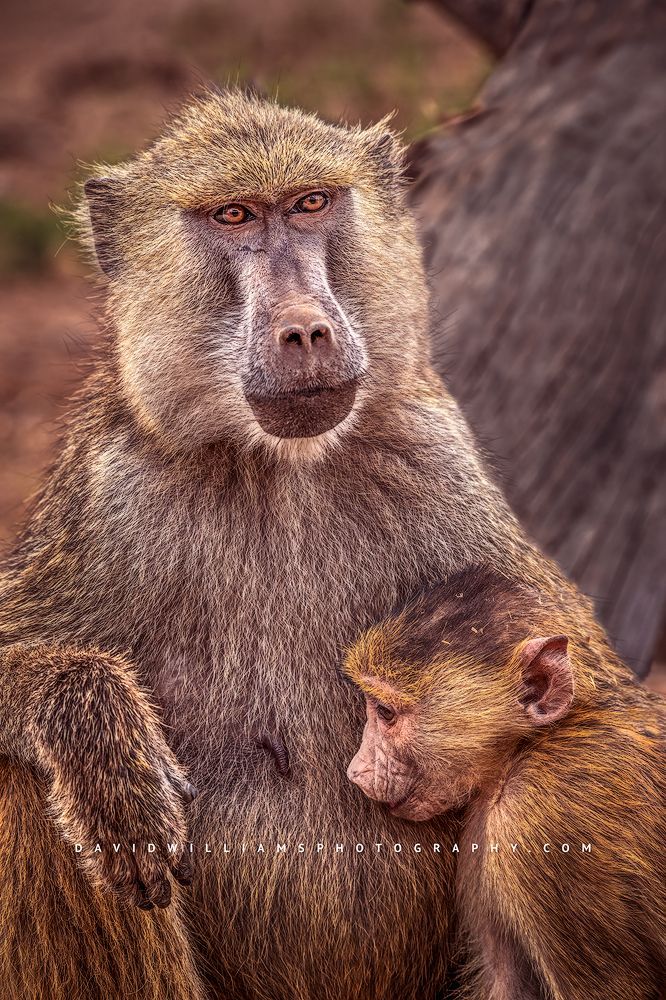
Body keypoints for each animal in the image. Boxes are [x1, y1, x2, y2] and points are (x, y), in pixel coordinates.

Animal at [0, 88, 633, 1000]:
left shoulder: (436, 460)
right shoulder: (110, 494)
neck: (281, 471)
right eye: (232, 215)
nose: (304, 332)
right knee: (26, 784)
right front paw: (96, 737)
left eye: (311, 203)